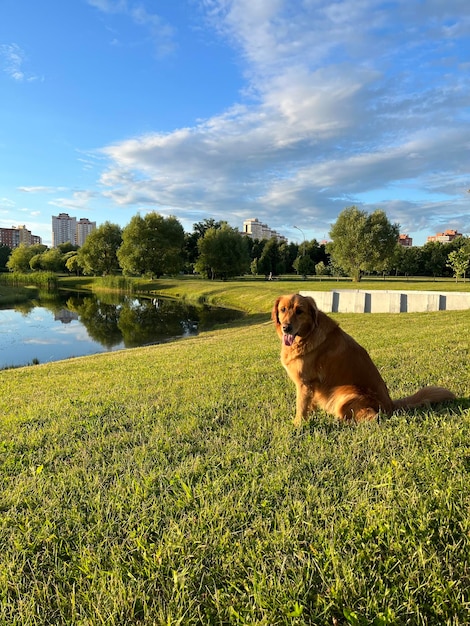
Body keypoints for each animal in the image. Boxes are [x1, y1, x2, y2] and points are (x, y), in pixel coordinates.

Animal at [272, 294, 456, 424]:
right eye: (283, 309)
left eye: (299, 311)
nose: (286, 327)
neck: (306, 335)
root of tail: (390, 404)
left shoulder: (305, 383)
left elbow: (301, 408)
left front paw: (297, 426)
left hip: (346, 393)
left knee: (371, 417)